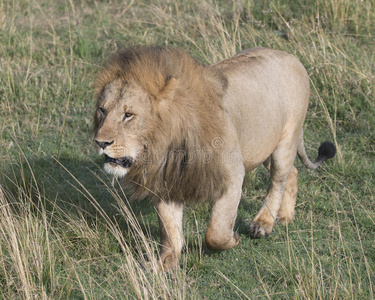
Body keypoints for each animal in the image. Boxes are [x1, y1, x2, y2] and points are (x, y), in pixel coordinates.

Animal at [92, 46, 336, 270]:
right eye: (102, 110)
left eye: (128, 115)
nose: (101, 142)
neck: (165, 146)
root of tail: (290, 55)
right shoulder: (168, 180)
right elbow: (169, 228)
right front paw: (165, 263)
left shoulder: (232, 174)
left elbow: (216, 232)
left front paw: (233, 239)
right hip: (264, 146)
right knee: (292, 173)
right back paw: (285, 216)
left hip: (285, 141)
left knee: (278, 181)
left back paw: (263, 223)